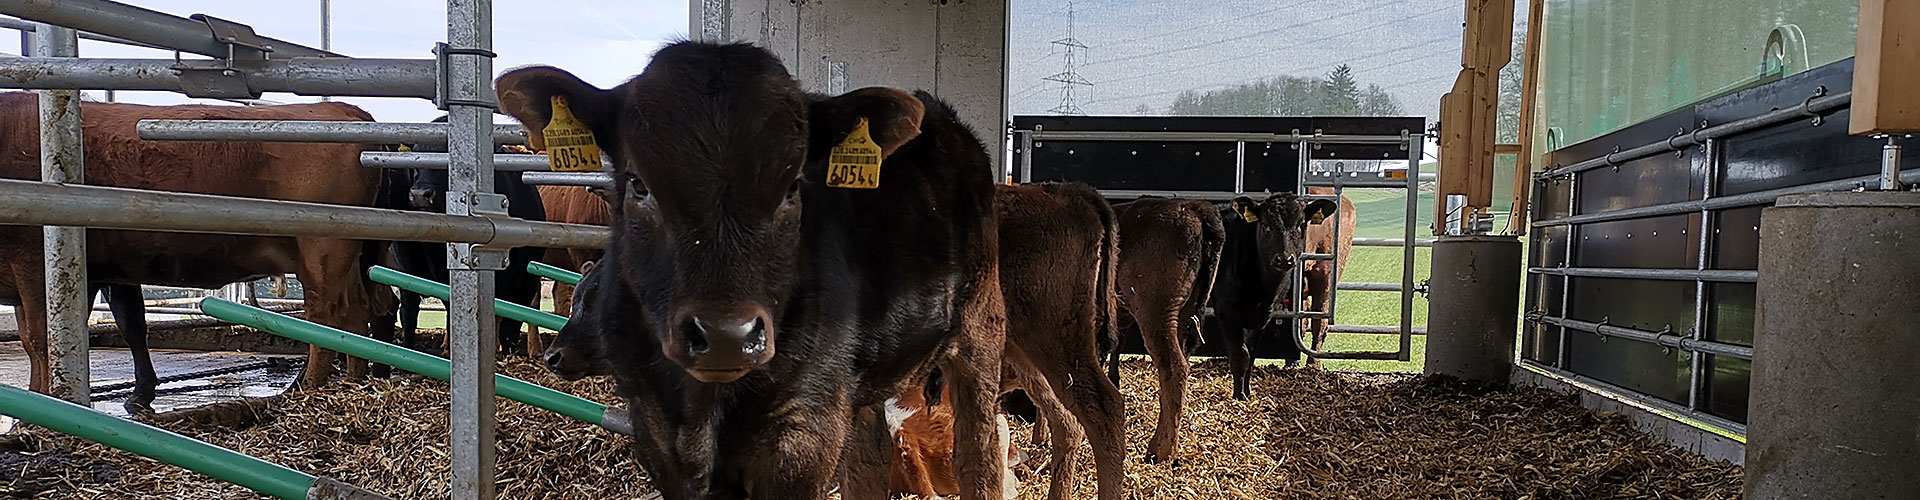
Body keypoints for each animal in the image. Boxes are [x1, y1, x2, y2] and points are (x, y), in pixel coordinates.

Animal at [0, 93, 397, 405]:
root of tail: (343, 109)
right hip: (353, 255)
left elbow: (43, 338)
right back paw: (353, 380)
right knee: (363, 308)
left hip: (323, 248)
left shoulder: (36, 261)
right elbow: (104, 328)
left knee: (328, 313)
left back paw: (308, 388)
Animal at [495, 42, 1006, 500]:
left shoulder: (804, 433)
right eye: (639, 184)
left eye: (792, 186)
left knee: (977, 455)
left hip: (982, 333)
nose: (727, 335)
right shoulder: (655, 431)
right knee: (870, 461)